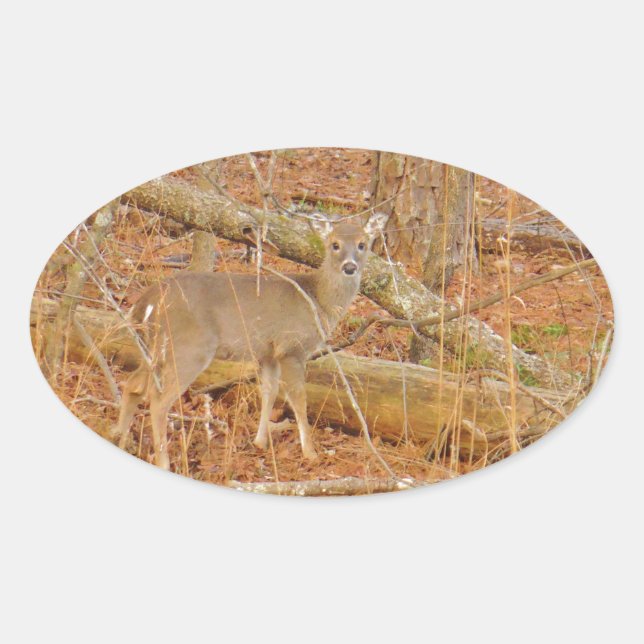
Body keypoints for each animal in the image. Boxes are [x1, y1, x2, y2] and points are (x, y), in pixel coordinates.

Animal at [110, 211, 388, 470]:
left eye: (363, 244)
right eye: (334, 244)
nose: (350, 267)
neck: (318, 301)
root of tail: (148, 299)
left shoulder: (268, 352)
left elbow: (269, 391)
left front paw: (260, 442)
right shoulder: (291, 347)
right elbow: (298, 398)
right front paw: (310, 453)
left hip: (154, 348)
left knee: (133, 384)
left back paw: (121, 438)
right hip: (189, 347)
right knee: (158, 401)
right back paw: (163, 461)